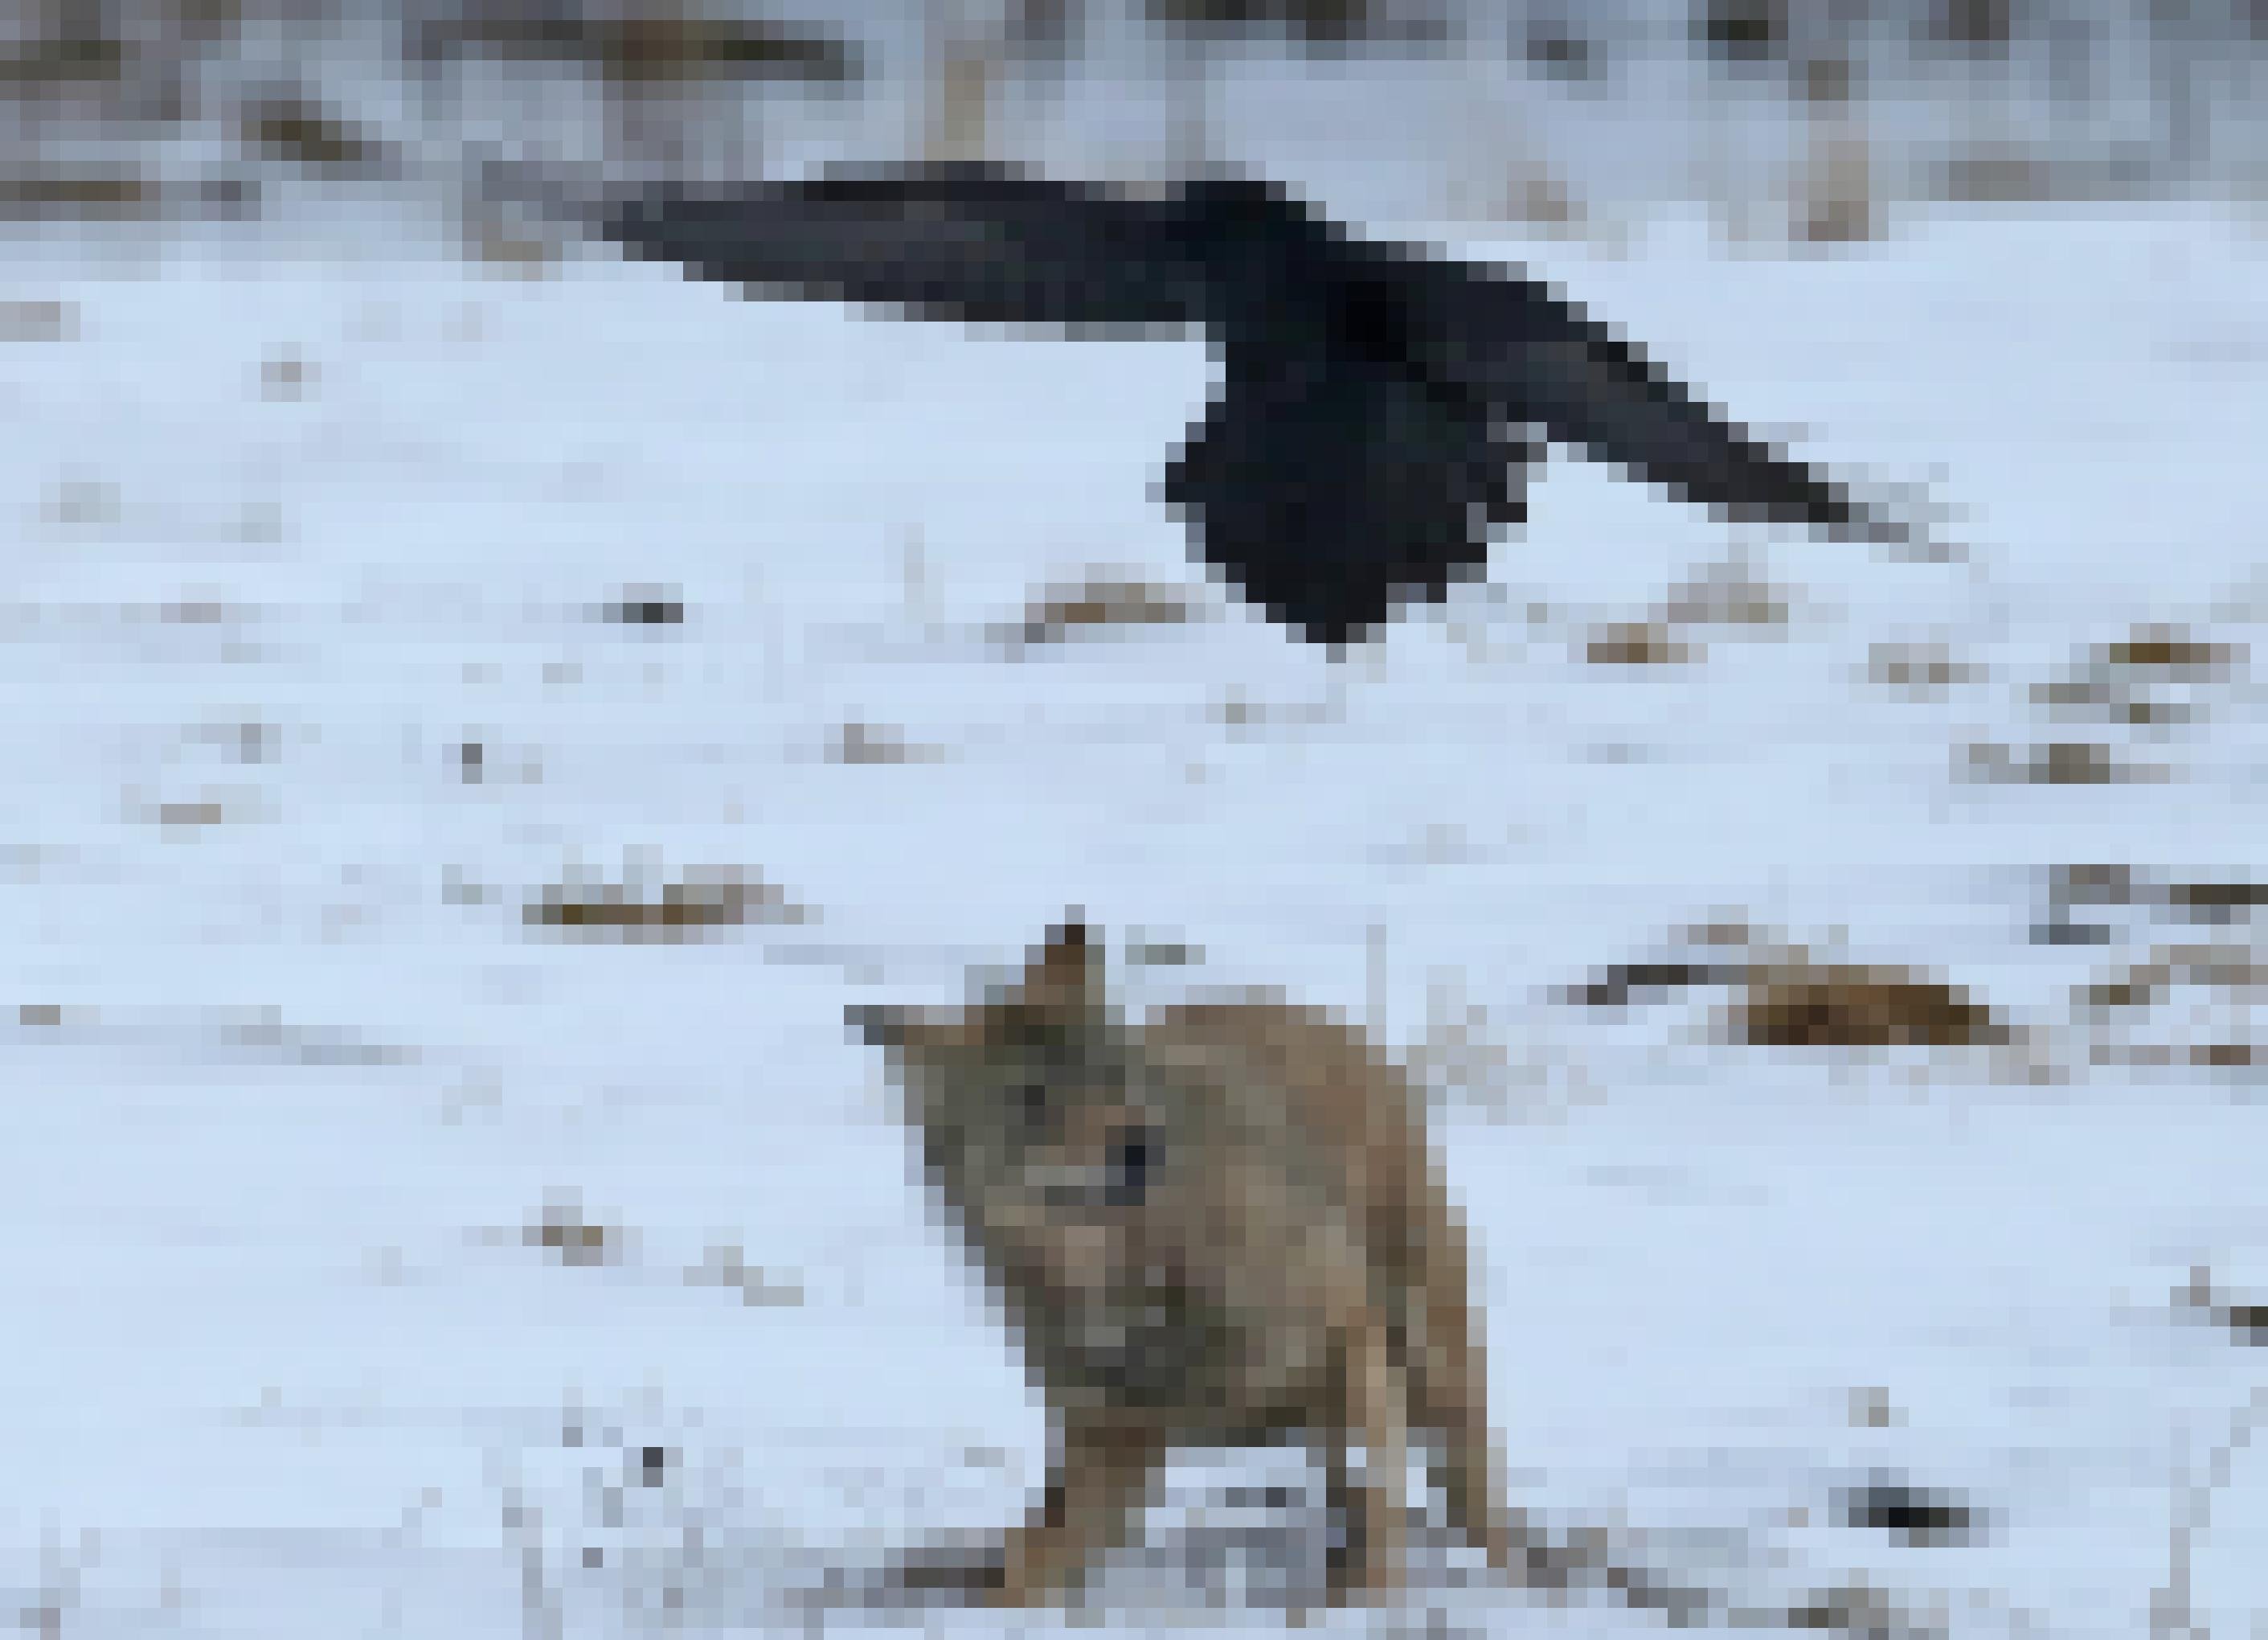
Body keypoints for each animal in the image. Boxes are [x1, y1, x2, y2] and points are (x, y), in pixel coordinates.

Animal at [843, 916, 1515, 1605]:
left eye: (1113, 1076)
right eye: (1030, 1099)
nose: (1139, 1147)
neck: (1128, 1275)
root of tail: (1299, 1010)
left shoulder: (1347, 1338)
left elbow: (1379, 1498)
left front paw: (1365, 1601)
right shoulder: (1111, 1433)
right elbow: (1031, 1565)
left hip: (1432, 1345)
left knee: (1470, 1479)